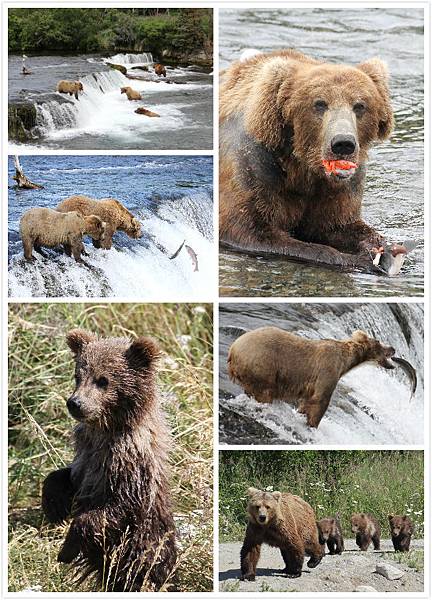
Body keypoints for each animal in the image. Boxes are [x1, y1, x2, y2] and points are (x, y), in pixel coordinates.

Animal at [40, 330, 176, 592]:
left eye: (103, 380)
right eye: (77, 376)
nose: (75, 403)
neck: (107, 431)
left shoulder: (130, 468)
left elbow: (115, 510)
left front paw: (66, 549)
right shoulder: (87, 458)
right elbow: (66, 477)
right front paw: (54, 506)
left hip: (145, 563)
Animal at [219, 49, 412, 274]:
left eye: (360, 106)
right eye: (319, 104)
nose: (343, 144)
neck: (303, 166)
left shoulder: (340, 185)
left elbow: (338, 224)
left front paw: (382, 248)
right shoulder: (254, 164)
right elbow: (250, 229)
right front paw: (355, 259)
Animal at [228, 328, 396, 426]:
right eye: (379, 342)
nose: (393, 348)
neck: (346, 361)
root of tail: (233, 349)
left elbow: (307, 400)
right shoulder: (328, 370)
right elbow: (320, 400)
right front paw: (312, 424)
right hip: (263, 365)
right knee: (265, 392)